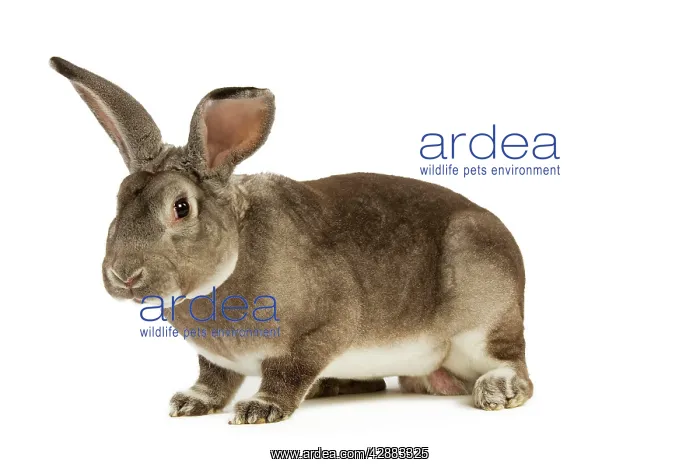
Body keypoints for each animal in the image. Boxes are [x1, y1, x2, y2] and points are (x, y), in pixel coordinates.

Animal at [50, 57, 534, 424]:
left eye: (181, 207)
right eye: (118, 199)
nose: (123, 275)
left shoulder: (325, 328)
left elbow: (289, 371)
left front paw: (260, 409)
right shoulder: (216, 361)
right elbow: (214, 379)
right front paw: (190, 402)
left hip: (484, 309)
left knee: (516, 366)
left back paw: (497, 389)